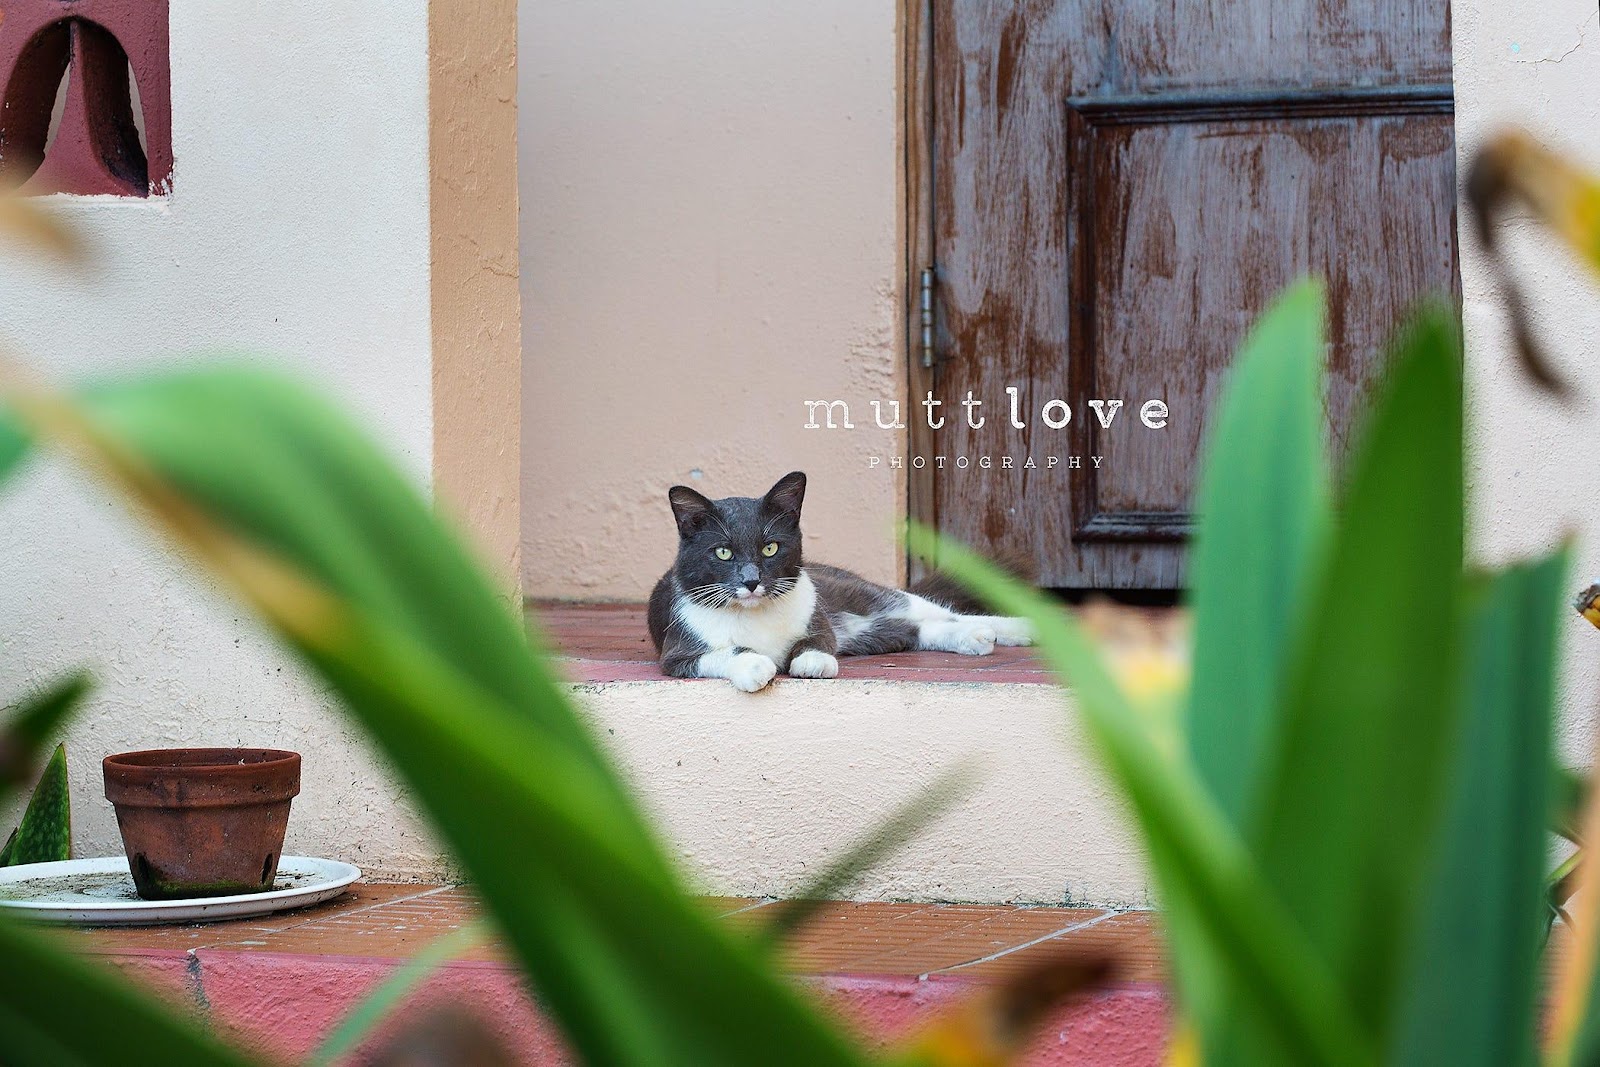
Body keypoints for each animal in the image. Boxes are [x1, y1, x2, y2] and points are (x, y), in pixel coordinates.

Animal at [649, 470, 1036, 687]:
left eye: (770, 548)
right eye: (723, 553)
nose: (751, 580)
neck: (755, 615)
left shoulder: (818, 620)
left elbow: (818, 640)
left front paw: (812, 660)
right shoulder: (677, 651)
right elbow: (720, 653)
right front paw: (754, 664)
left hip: (860, 595)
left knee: (933, 610)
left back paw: (1019, 628)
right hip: (866, 634)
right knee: (914, 630)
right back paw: (974, 637)